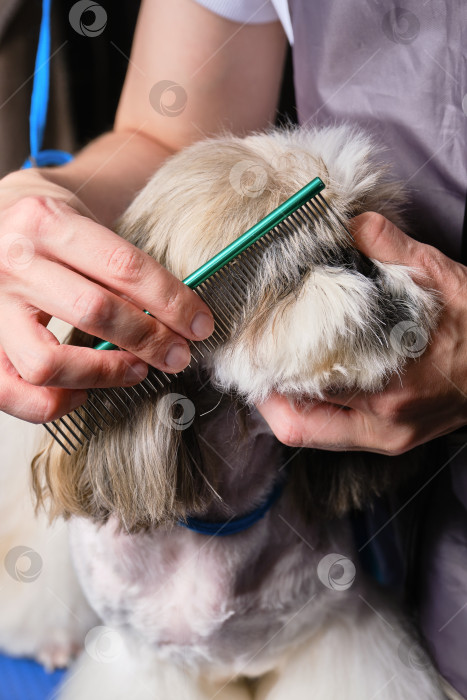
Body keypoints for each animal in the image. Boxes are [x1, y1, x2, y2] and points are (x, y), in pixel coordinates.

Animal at [0, 126, 448, 700]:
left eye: (368, 227)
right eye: (282, 267)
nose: (357, 258)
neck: (224, 513)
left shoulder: (336, 629)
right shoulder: (151, 665)